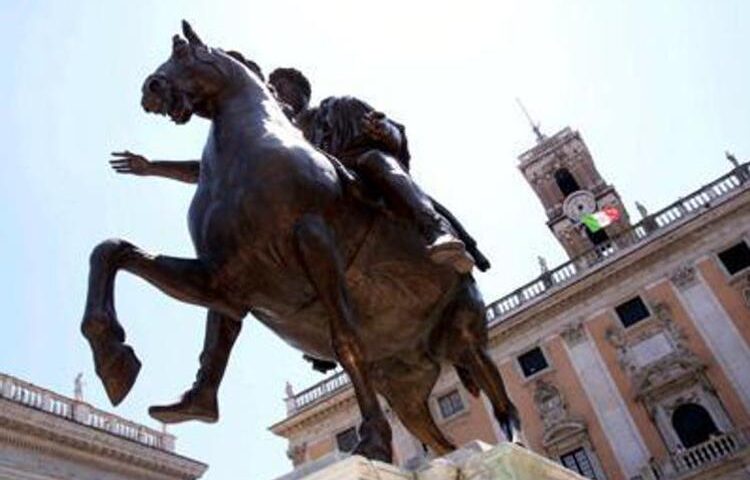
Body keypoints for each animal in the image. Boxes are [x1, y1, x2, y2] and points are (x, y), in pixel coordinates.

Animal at [79, 22, 520, 462]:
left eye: (182, 50)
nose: (151, 88)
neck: (249, 153)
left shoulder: (313, 239)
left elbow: (346, 341)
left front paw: (373, 440)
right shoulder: (223, 281)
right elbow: (112, 251)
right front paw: (114, 359)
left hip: (465, 334)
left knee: (499, 394)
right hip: (405, 387)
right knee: (440, 440)